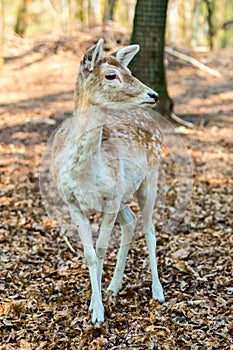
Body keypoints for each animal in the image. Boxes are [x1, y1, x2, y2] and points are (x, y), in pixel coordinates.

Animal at [50, 39, 165, 322]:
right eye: (111, 75)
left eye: (129, 71)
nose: (153, 95)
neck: (85, 174)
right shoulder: (72, 203)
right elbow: (90, 253)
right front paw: (95, 305)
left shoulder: (111, 199)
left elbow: (101, 249)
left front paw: (98, 311)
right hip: (125, 195)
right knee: (131, 222)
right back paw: (114, 286)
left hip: (150, 178)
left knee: (149, 228)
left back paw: (157, 291)